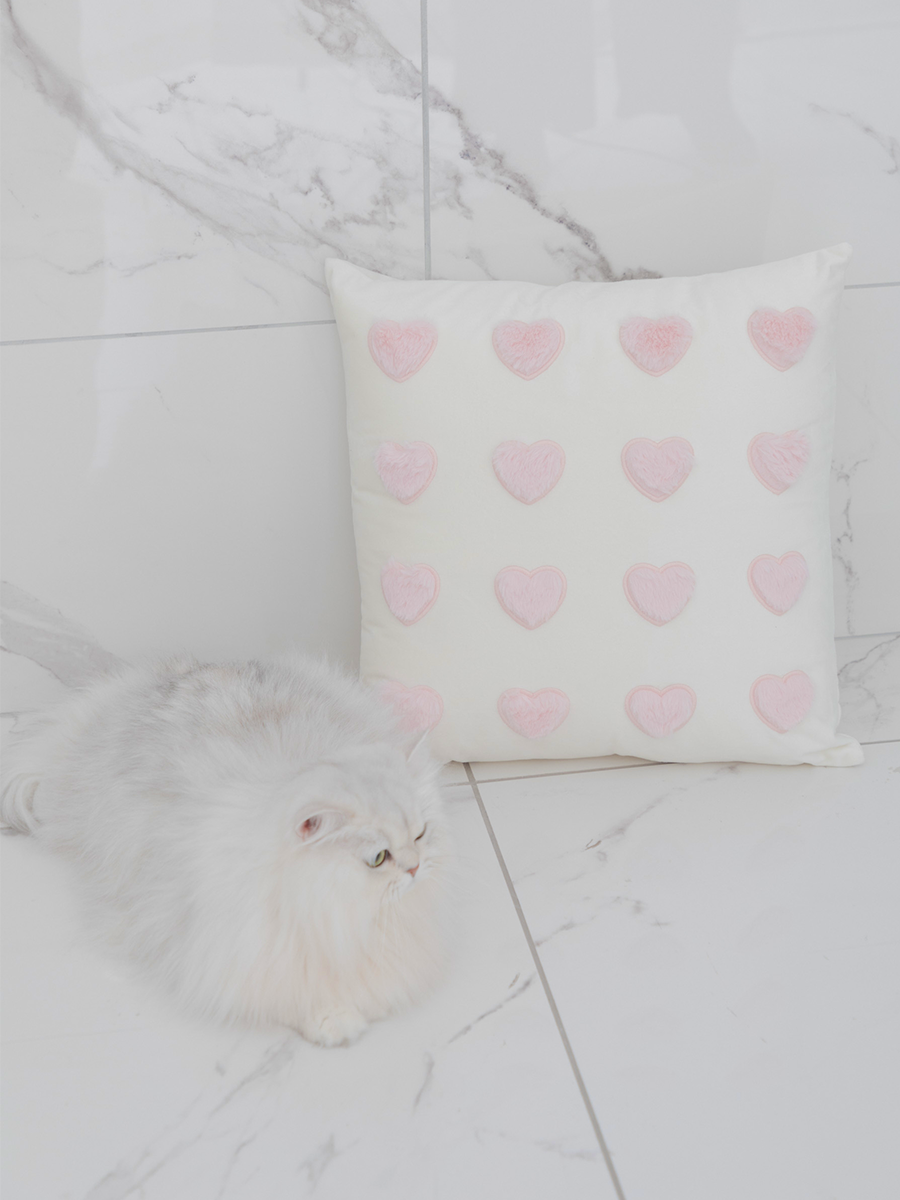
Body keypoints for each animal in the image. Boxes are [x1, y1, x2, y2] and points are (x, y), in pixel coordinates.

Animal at [1, 653, 450, 1046]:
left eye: (420, 834)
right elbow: (292, 993)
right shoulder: (231, 949)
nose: (416, 868)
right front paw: (334, 1020)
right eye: (378, 858)